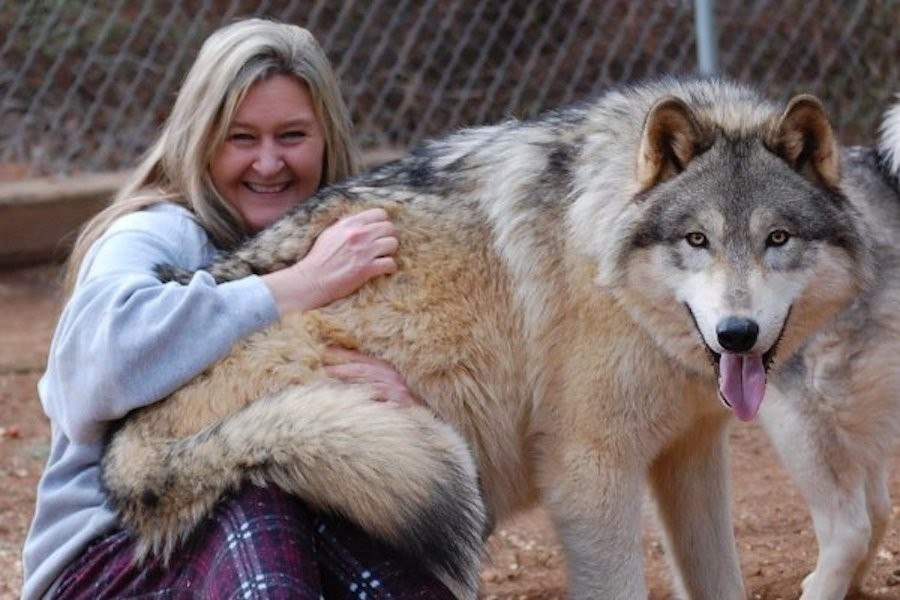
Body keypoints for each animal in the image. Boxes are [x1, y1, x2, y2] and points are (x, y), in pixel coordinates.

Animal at [100, 81, 872, 600]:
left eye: (777, 239)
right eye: (697, 240)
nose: (737, 334)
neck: (604, 264)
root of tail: (122, 444)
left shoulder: (692, 455)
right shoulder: (589, 473)